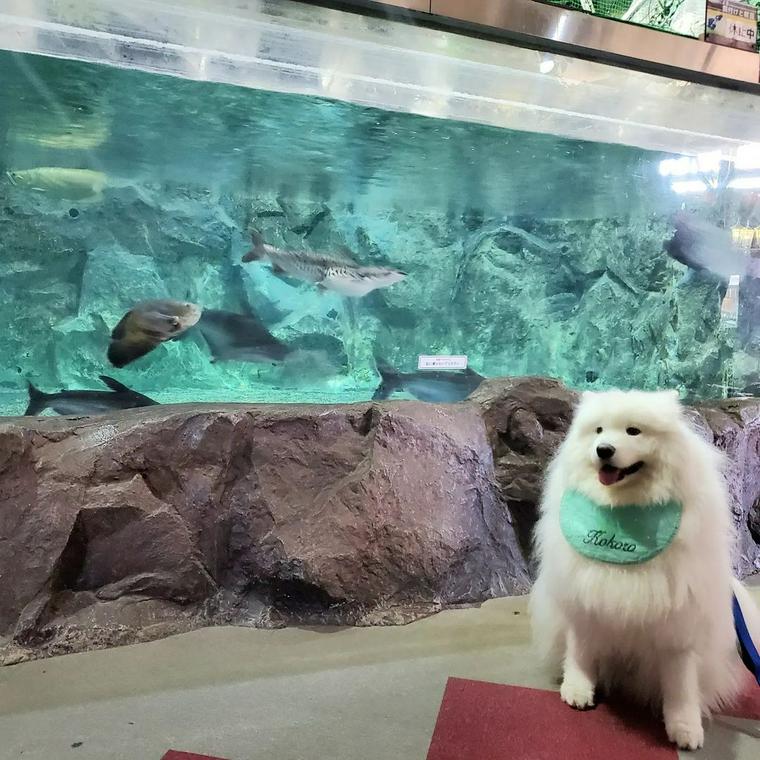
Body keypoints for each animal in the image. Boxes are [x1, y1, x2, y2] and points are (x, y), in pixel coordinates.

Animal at [532, 388, 756, 752]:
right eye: (598, 431)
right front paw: (578, 689)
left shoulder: (679, 625)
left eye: (633, 431)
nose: (603, 450)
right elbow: (580, 651)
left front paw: (685, 727)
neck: (624, 513)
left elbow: (681, 683)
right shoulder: (585, 599)